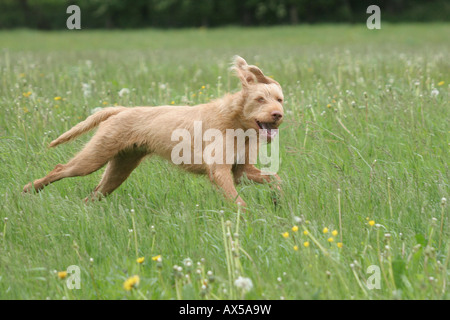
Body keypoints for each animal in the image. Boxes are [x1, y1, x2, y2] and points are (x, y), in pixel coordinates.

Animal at [22, 56, 284, 208]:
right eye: (260, 99)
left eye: (279, 99)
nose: (277, 115)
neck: (235, 121)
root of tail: (121, 110)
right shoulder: (219, 171)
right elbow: (239, 202)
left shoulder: (241, 171)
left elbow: (275, 179)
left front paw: (278, 200)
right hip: (93, 158)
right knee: (60, 169)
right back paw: (30, 189)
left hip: (119, 168)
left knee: (94, 194)